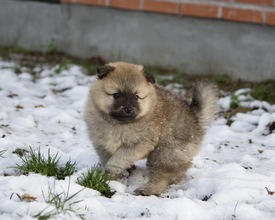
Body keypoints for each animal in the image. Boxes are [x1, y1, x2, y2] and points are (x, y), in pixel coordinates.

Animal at [85, 62, 219, 196]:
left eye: (136, 97)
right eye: (117, 95)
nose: (128, 109)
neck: (119, 124)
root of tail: (195, 117)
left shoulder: (139, 145)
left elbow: (118, 158)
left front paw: (111, 171)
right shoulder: (101, 145)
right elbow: (107, 158)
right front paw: (113, 177)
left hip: (164, 153)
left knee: (161, 176)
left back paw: (148, 189)